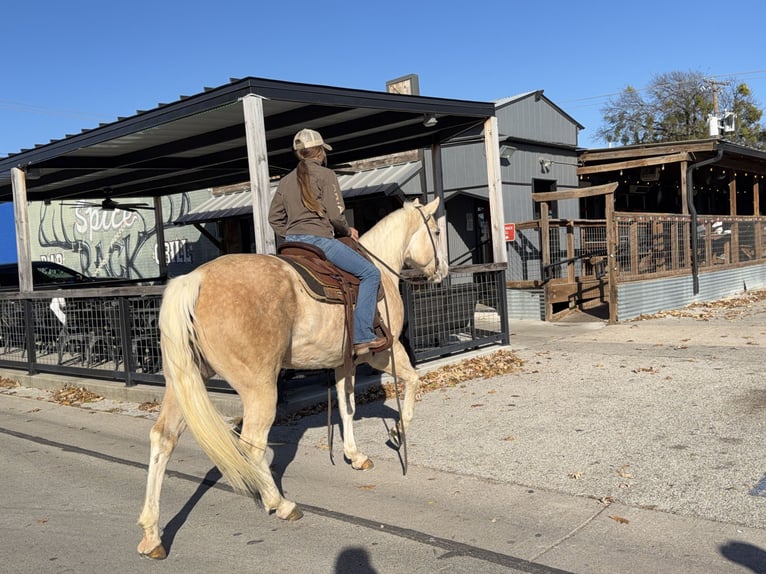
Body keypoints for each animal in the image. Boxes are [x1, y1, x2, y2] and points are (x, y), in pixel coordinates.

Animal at [137, 197, 447, 559]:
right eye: (436, 231)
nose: (443, 271)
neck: (379, 271)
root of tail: (196, 278)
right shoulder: (383, 352)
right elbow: (412, 381)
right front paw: (397, 432)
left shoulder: (343, 363)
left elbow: (347, 407)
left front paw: (354, 455)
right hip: (259, 389)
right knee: (252, 444)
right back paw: (280, 503)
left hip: (182, 382)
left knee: (163, 439)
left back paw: (152, 534)